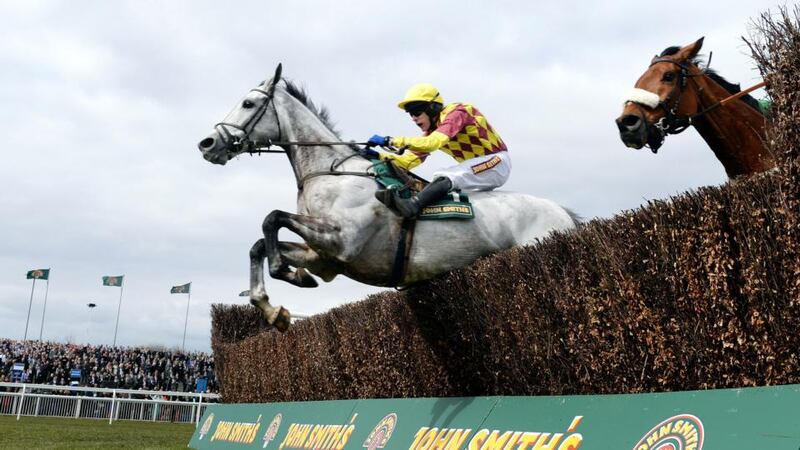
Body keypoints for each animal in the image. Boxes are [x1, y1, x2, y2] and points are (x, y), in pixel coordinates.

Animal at [198, 64, 580, 330]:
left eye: (248, 103)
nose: (208, 144)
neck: (330, 171)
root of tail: (566, 216)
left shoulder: (343, 241)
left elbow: (272, 218)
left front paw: (286, 273)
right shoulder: (324, 257)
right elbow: (259, 244)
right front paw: (273, 307)